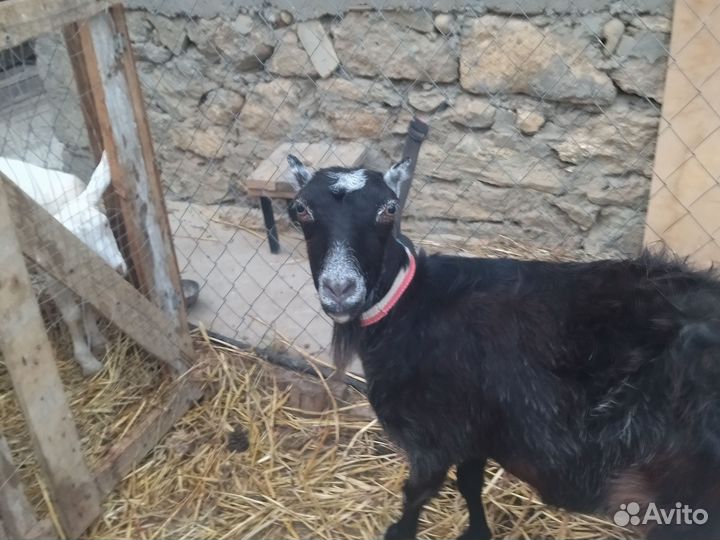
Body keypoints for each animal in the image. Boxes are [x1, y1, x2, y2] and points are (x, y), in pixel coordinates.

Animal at [0, 153, 127, 376]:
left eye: (105, 223)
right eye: (75, 245)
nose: (118, 271)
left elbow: (89, 305)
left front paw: (97, 341)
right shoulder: (52, 274)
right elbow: (72, 315)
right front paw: (87, 360)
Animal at [287, 154, 720, 540]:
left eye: (389, 209)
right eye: (300, 209)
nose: (340, 289)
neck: (410, 305)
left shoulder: (431, 436)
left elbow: (416, 496)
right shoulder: (474, 427)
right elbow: (469, 482)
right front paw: (477, 533)